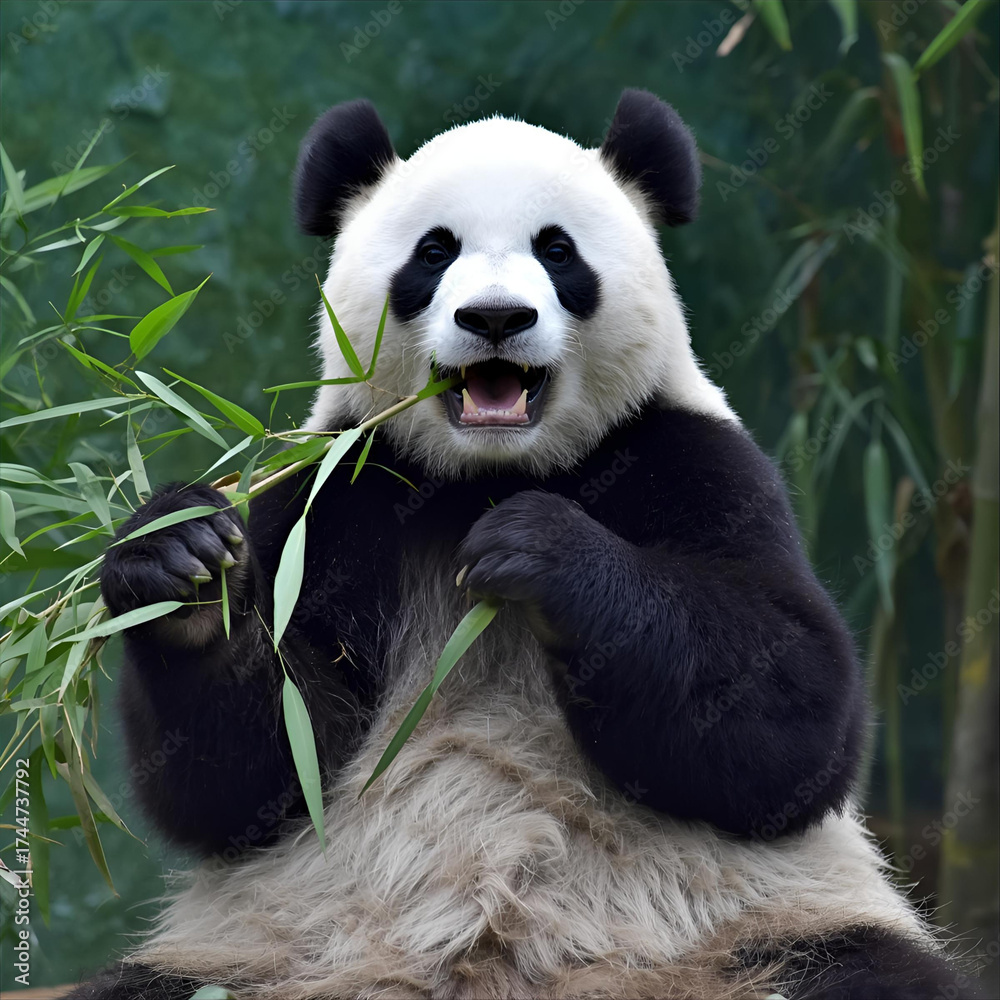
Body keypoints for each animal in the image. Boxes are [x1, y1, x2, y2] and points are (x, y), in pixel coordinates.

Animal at [70, 91, 978, 1000]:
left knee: (874, 969)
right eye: (435, 251)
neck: (485, 473)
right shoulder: (328, 497)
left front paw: (542, 551)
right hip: (265, 954)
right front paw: (182, 569)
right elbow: (252, 774)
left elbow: (795, 718)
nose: (497, 317)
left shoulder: (693, 459)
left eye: (558, 250)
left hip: (758, 930)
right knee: (146, 984)